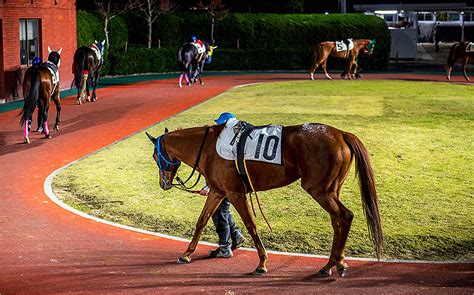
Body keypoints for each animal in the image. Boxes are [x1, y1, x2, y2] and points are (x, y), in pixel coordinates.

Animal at [146, 122, 384, 278]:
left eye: (155, 156)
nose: (163, 183)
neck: (207, 148)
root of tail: (341, 133)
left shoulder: (235, 193)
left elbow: (251, 225)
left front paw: (262, 263)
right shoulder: (217, 191)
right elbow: (202, 221)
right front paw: (187, 253)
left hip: (320, 190)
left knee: (345, 216)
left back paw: (332, 264)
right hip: (332, 190)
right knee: (338, 221)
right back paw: (335, 263)